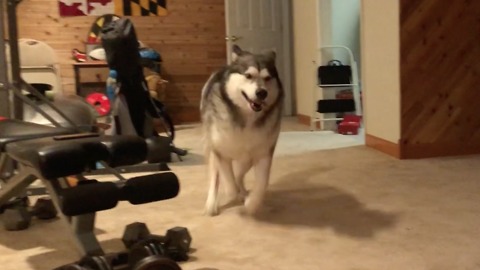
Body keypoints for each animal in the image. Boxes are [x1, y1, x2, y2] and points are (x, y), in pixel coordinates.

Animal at [200, 45, 284, 216]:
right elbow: (228, 183)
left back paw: (244, 193)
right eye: (248, 75)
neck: (247, 119)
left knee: (239, 175)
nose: (262, 92)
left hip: (247, 159)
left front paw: (251, 203)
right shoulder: (220, 152)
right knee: (216, 177)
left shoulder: (263, 152)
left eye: (267, 78)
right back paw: (212, 204)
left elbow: (262, 183)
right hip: (214, 149)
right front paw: (234, 194)